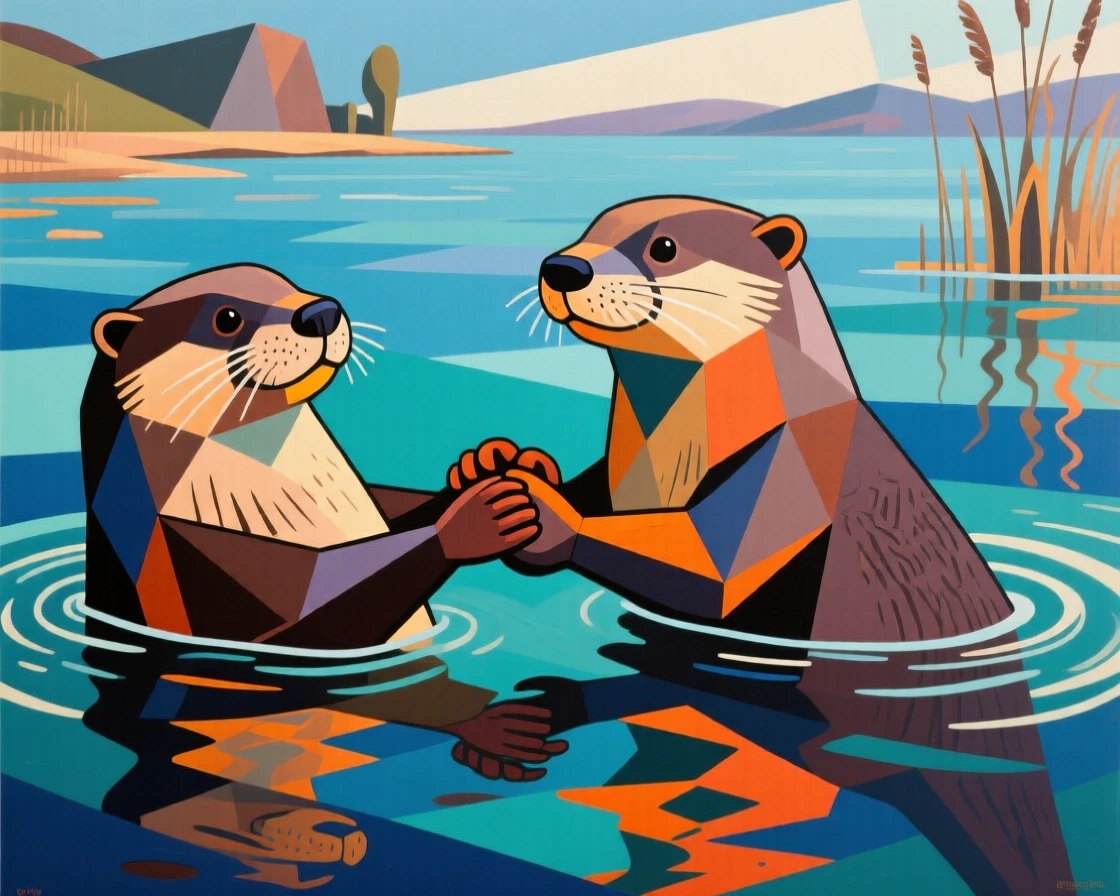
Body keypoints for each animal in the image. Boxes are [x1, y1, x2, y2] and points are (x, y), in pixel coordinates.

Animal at [81, 263, 544, 651]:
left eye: (289, 283)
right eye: (227, 318)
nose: (320, 312)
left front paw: (479, 465)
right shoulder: (180, 544)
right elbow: (310, 612)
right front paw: (476, 520)